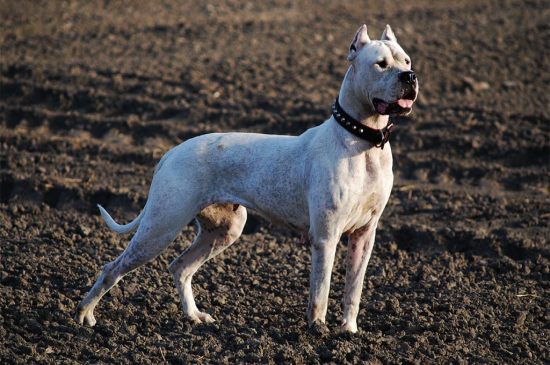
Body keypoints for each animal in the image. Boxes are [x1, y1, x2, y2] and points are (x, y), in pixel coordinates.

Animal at [76, 24, 418, 332]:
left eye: (407, 61)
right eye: (380, 64)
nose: (410, 77)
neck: (363, 140)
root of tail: (170, 153)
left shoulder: (364, 236)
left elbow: (353, 291)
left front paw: (348, 330)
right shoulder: (326, 237)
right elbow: (320, 291)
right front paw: (318, 329)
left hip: (224, 230)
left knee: (180, 267)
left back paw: (194, 317)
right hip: (161, 227)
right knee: (113, 268)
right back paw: (85, 315)